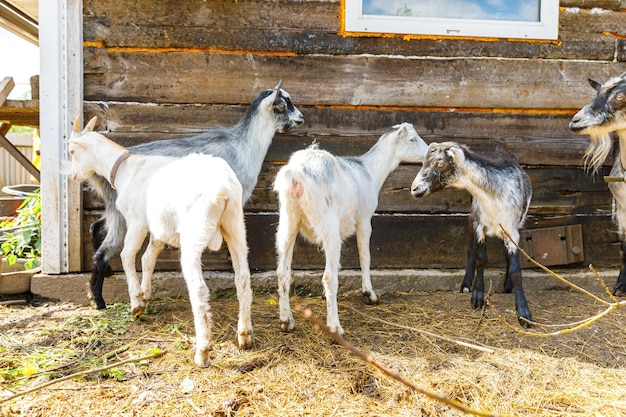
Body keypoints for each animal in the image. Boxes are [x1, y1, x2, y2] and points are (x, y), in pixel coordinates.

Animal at [68, 115, 251, 366]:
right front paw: (146, 294)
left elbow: (128, 255)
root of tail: (223, 189)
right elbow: (148, 258)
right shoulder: (157, 228)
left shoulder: (137, 221)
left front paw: (136, 302)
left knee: (199, 289)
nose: (73, 176)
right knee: (242, 278)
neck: (125, 168)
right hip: (235, 225)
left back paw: (202, 350)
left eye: (71, 150)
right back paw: (244, 336)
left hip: (194, 233)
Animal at [274, 122, 428, 334]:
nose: (429, 152)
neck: (369, 170)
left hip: (289, 221)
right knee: (329, 276)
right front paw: (369, 294)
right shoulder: (364, 219)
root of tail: (297, 175)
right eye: (412, 139)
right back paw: (335, 327)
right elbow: (365, 256)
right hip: (328, 223)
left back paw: (286, 320)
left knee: (283, 271)